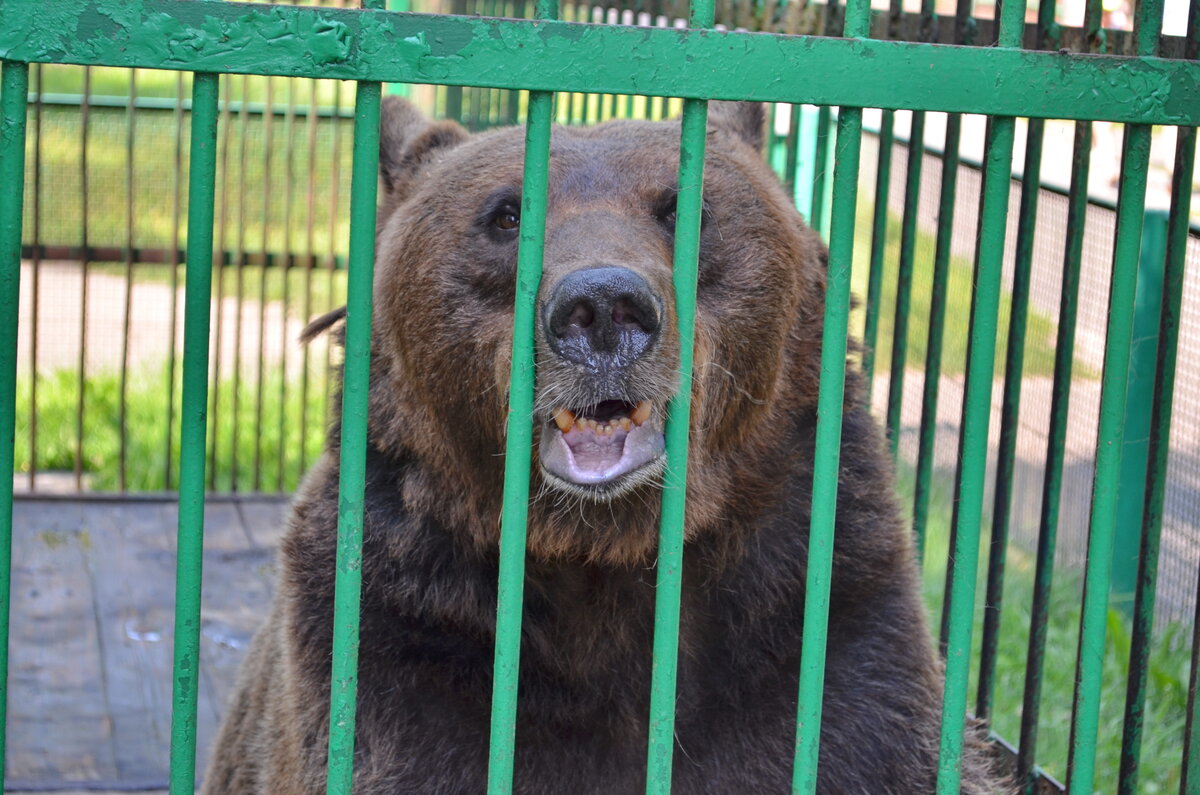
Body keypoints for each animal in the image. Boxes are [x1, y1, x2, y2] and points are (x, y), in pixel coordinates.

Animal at [201, 96, 1008, 792]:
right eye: (505, 214)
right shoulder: (400, 655)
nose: (601, 308)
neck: (604, 556)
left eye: (684, 208)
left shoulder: (824, 640)